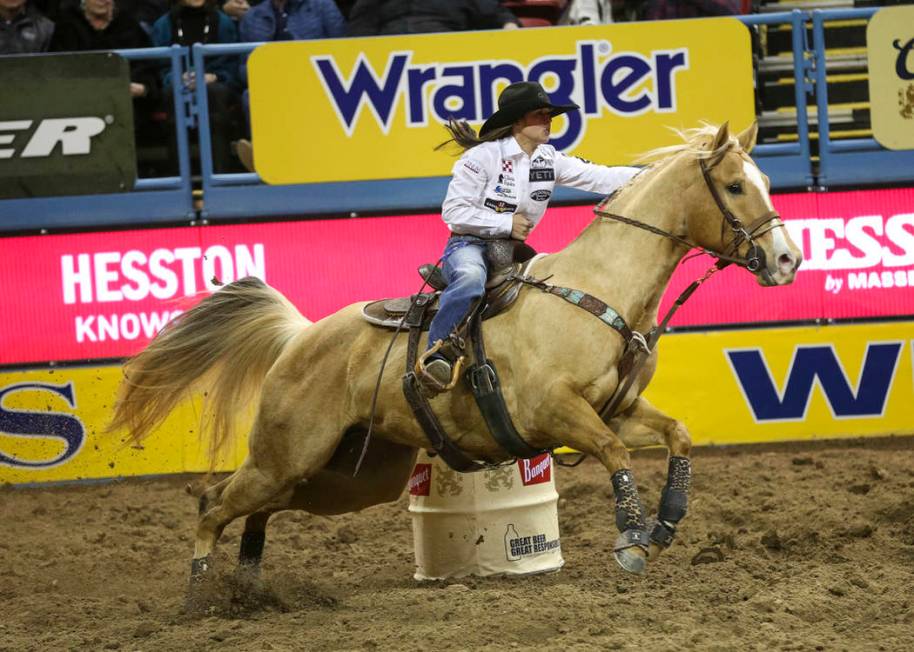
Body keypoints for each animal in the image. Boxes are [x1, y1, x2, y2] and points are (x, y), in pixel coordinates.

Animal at [110, 121, 800, 592]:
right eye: (735, 186)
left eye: (765, 182)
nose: (788, 259)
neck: (599, 288)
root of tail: (300, 337)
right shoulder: (558, 412)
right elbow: (615, 454)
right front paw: (632, 539)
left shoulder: (619, 406)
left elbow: (678, 435)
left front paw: (666, 523)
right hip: (286, 455)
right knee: (213, 502)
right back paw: (201, 594)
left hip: (346, 474)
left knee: (254, 508)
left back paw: (248, 588)